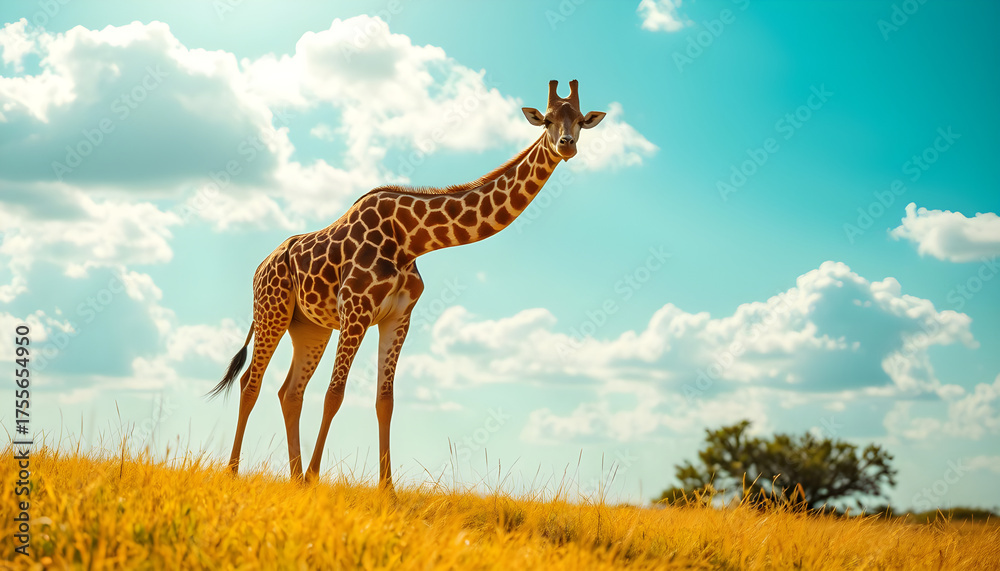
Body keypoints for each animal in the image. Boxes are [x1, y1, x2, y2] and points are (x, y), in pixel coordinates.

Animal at [210, 79, 606, 491]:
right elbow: (335, 394)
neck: (409, 239)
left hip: (309, 328)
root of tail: (260, 268)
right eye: (546, 120)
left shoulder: (398, 317)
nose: (567, 145)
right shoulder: (357, 310)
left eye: (580, 120)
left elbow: (385, 401)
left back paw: (296, 479)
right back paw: (235, 471)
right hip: (272, 312)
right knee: (250, 384)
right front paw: (319, 478)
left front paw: (387, 489)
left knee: (290, 392)